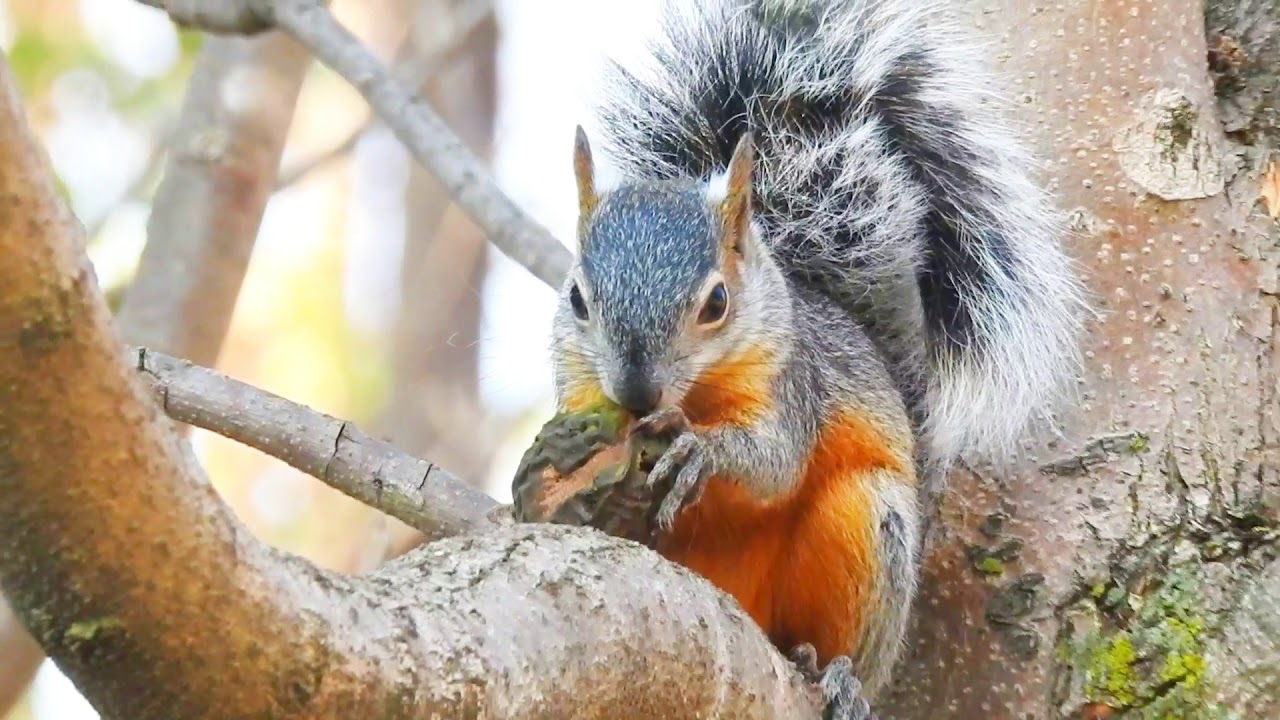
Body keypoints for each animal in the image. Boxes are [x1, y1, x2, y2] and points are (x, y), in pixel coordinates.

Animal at [545, 0, 1085, 707]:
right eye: (577, 298)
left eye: (717, 302)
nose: (636, 393)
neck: (696, 392)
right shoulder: (579, 388)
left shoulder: (794, 383)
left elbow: (775, 461)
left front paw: (701, 448)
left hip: (871, 526)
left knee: (851, 637)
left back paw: (834, 674)